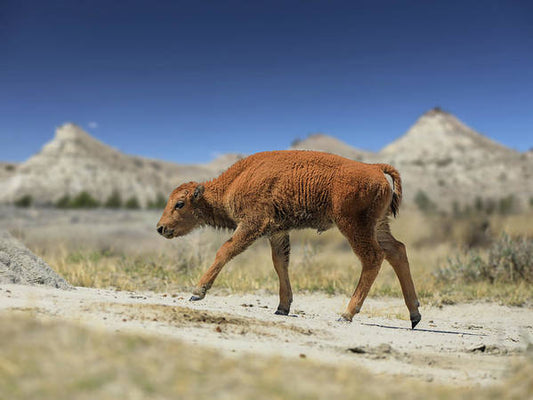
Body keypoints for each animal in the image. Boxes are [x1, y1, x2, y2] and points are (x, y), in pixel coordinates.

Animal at [157, 150, 420, 328]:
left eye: (179, 203)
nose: (160, 228)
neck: (235, 181)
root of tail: (374, 168)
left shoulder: (252, 225)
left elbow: (225, 250)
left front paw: (197, 292)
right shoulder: (277, 232)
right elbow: (280, 264)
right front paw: (282, 308)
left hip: (354, 226)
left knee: (373, 258)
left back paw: (346, 314)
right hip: (379, 226)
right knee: (397, 251)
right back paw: (414, 315)